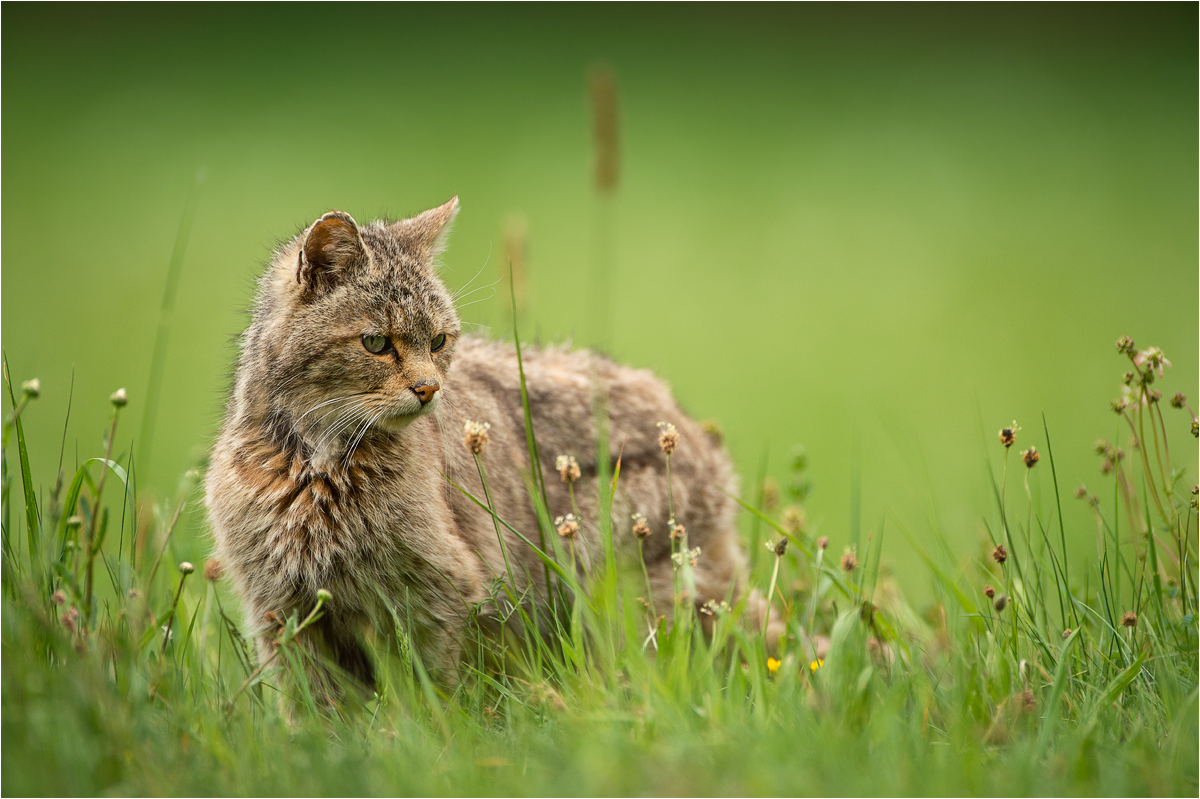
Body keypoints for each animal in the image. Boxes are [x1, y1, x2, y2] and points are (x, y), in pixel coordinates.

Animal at [205, 197, 768, 691]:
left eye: (438, 341)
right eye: (376, 343)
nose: (428, 388)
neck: (315, 464)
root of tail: (692, 431)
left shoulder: (439, 597)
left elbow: (433, 699)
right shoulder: (283, 613)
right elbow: (318, 716)